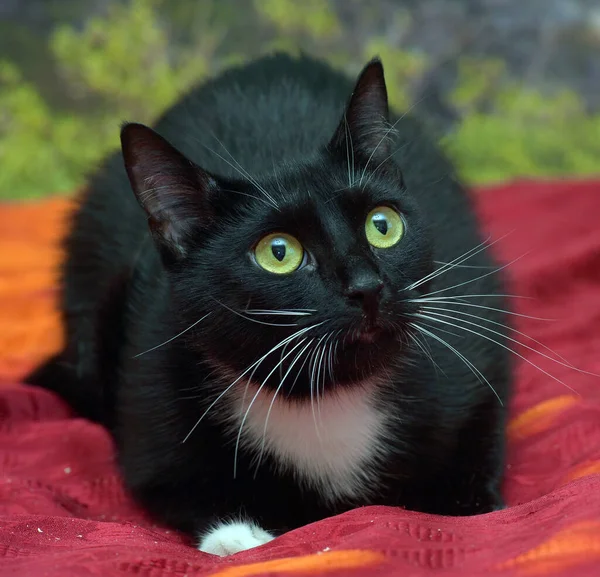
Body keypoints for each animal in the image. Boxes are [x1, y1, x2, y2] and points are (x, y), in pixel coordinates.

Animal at [28, 54, 510, 552]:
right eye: (278, 253)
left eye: (382, 224)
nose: (367, 286)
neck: (323, 398)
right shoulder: (149, 387)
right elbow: (172, 485)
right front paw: (236, 535)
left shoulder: (473, 355)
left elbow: (478, 450)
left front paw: (468, 505)